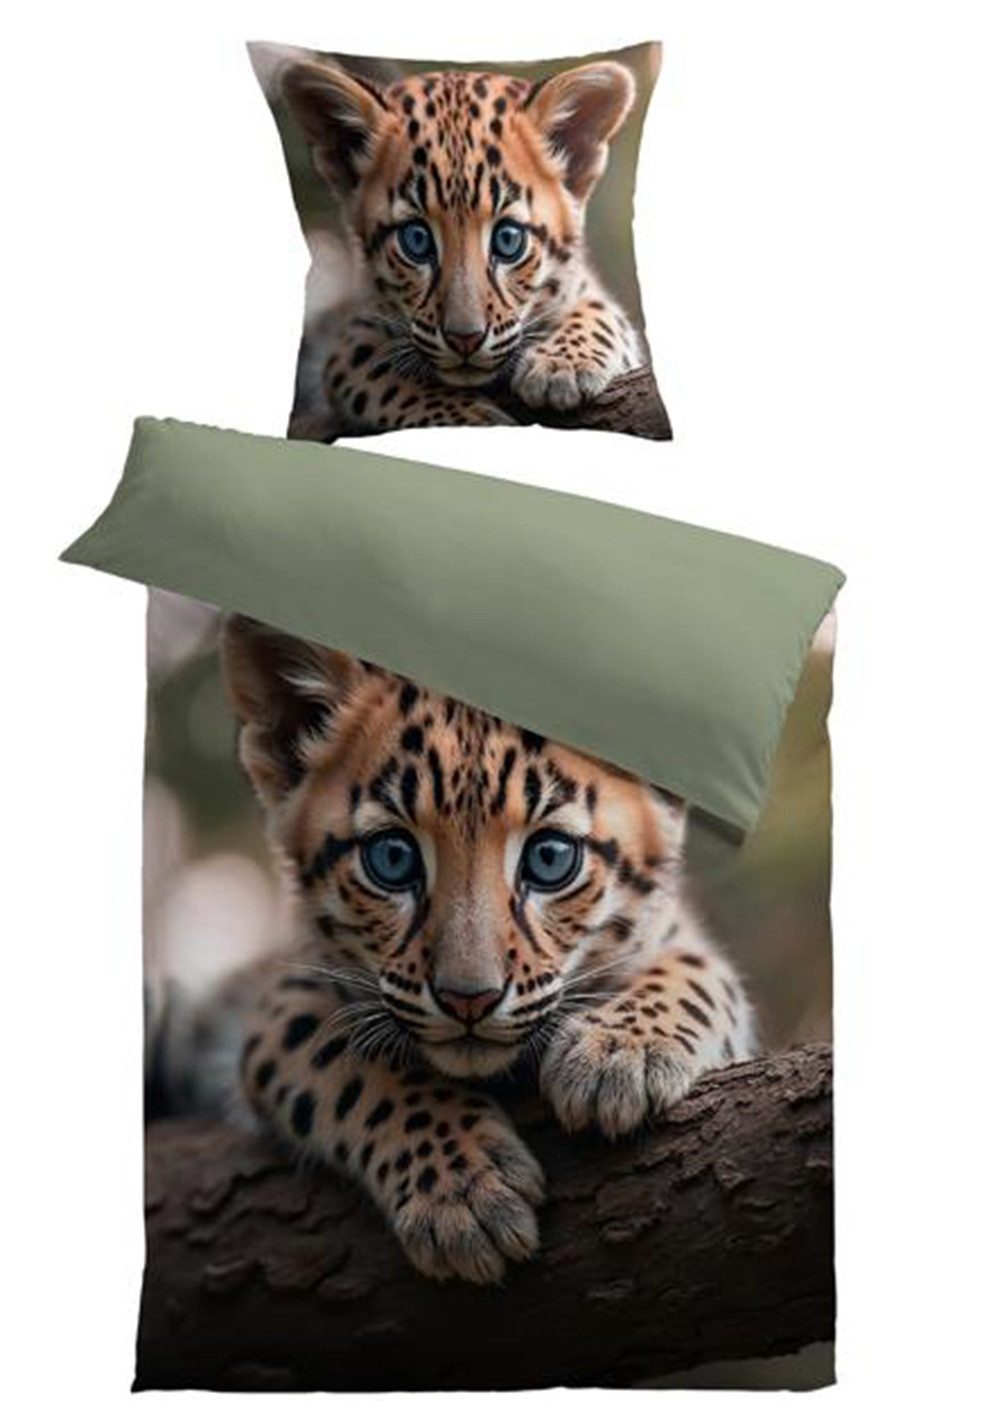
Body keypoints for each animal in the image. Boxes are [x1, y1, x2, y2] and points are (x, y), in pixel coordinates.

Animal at [162, 616, 755, 1285]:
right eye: (392, 858)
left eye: (550, 858)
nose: (468, 999)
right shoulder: (284, 1003)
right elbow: (358, 1064)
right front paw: (465, 1190)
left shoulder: (677, 938)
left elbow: (697, 973)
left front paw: (620, 1054)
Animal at [278, 57, 649, 436]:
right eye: (416, 240)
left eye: (508, 239)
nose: (465, 339)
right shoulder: (353, 338)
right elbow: (377, 375)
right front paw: (470, 418)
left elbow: (601, 315)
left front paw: (561, 366)